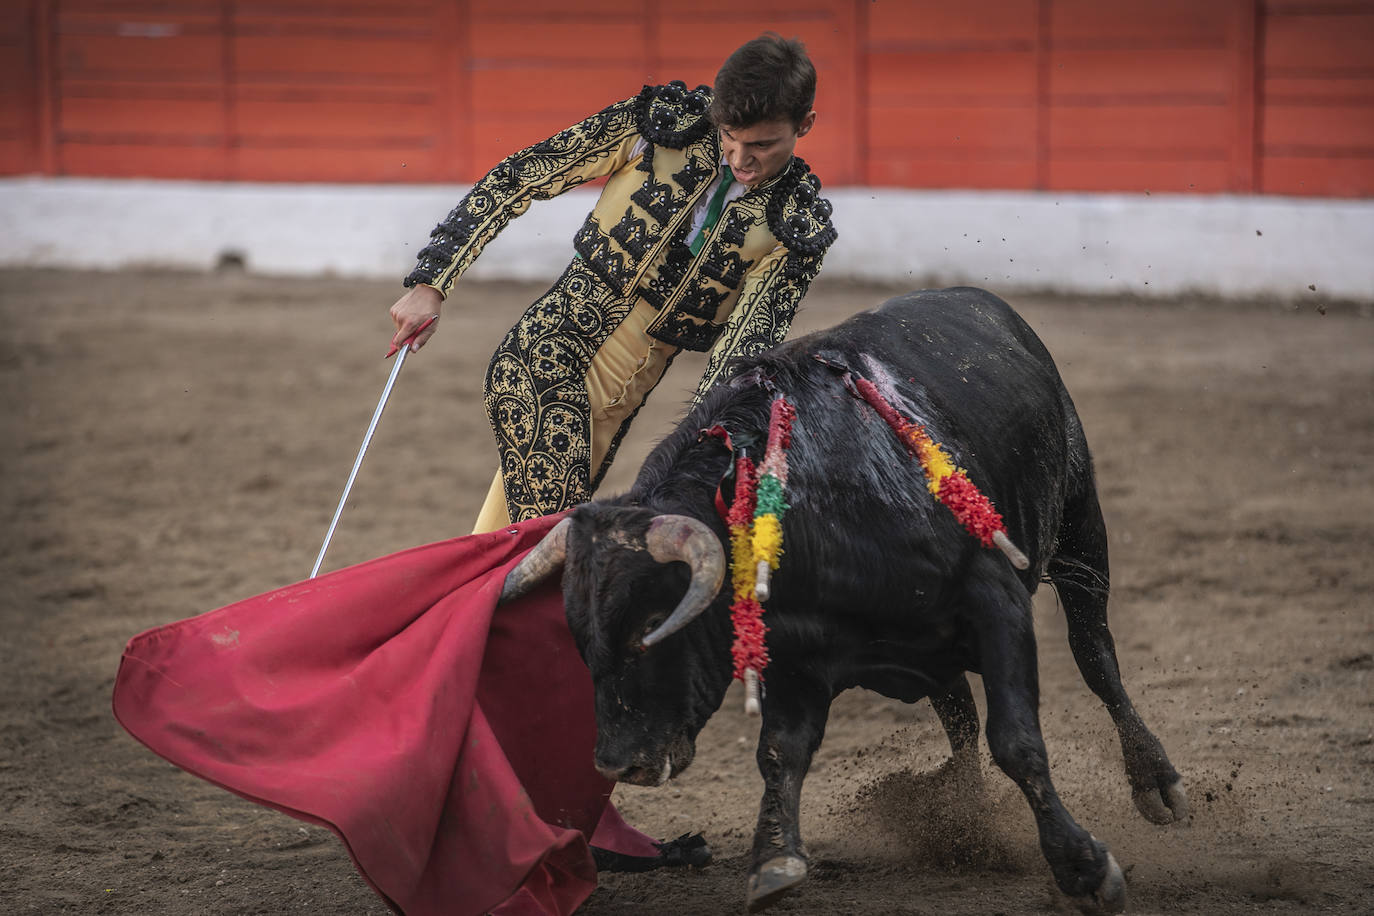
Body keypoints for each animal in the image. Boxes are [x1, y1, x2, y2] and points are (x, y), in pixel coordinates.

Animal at [500, 287, 1187, 911]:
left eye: (653, 622)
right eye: (581, 641)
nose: (617, 764)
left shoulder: (995, 597)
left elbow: (1016, 739)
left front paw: (1085, 869)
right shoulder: (796, 656)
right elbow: (780, 751)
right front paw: (775, 860)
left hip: (1079, 528)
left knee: (1095, 657)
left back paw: (1156, 782)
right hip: (935, 645)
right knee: (959, 714)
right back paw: (965, 817)